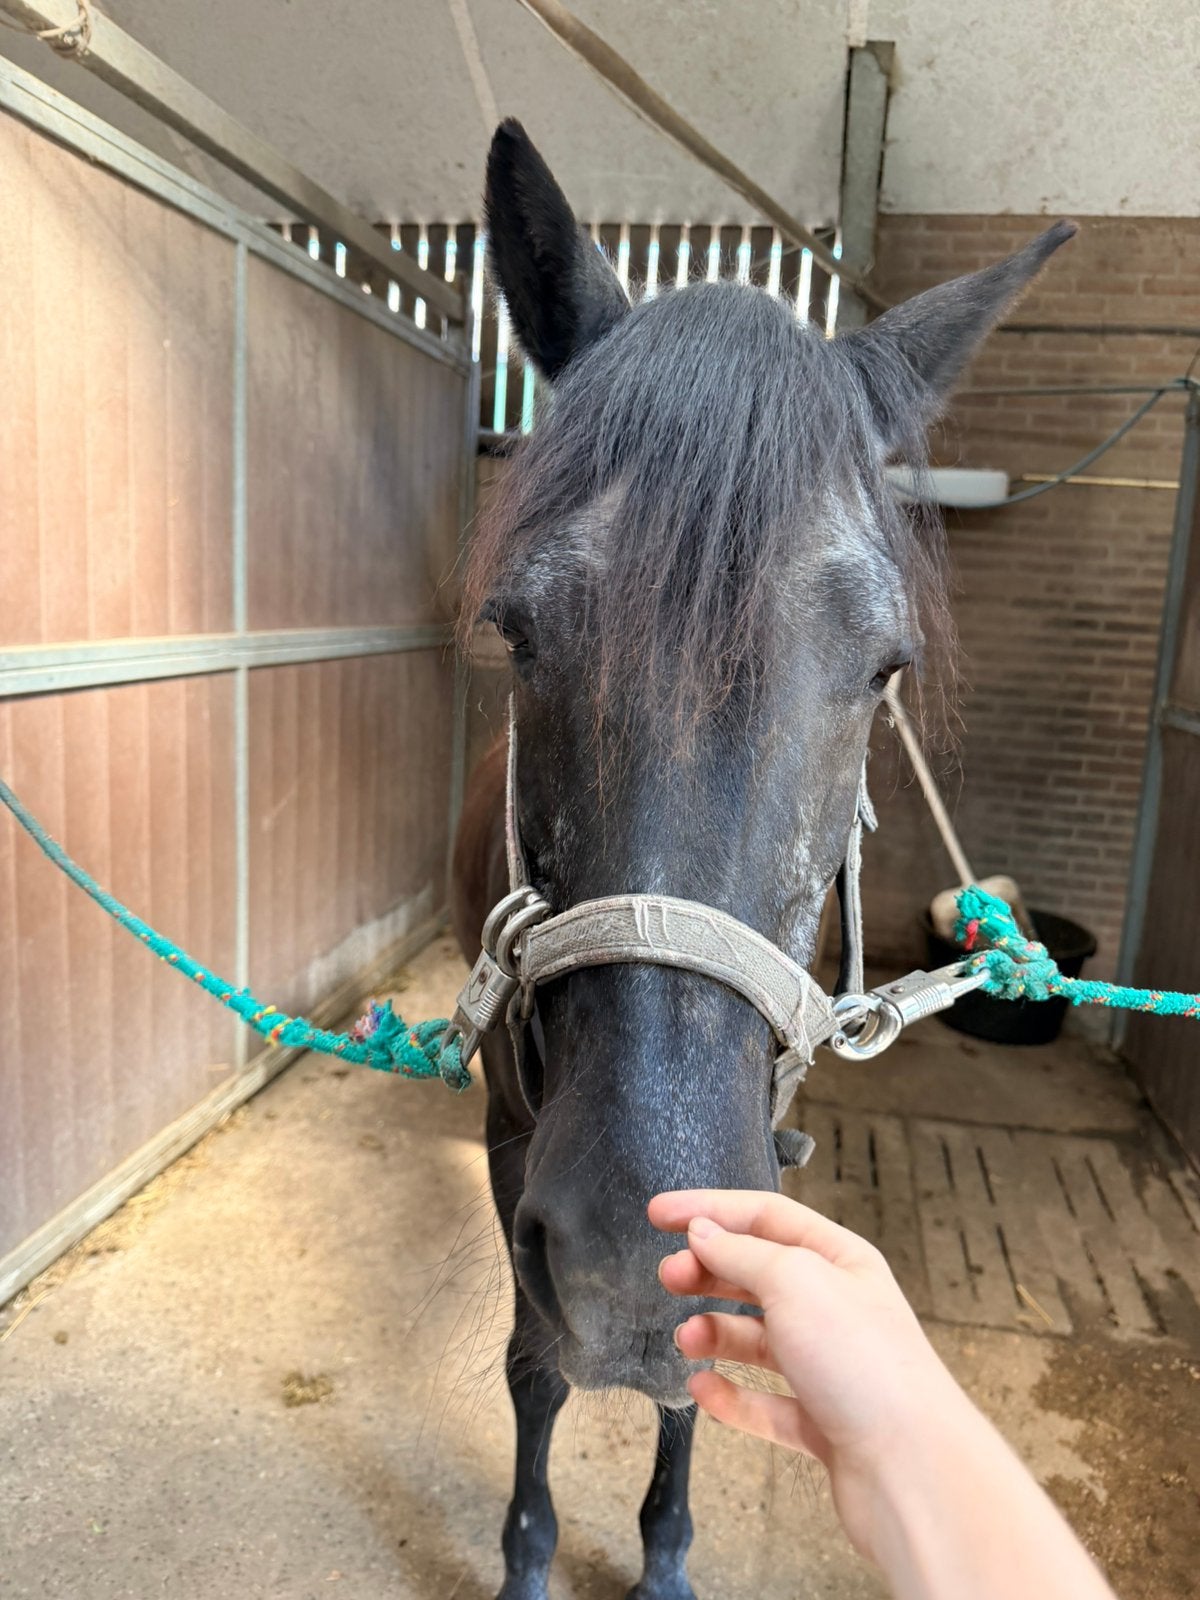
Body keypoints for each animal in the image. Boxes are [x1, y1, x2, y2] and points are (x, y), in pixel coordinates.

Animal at [450, 118, 1073, 1600]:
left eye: (883, 668)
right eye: (516, 631)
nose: (631, 1256)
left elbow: (695, 1379)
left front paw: (667, 1555)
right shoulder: (511, 1145)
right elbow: (533, 1368)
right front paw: (527, 1557)